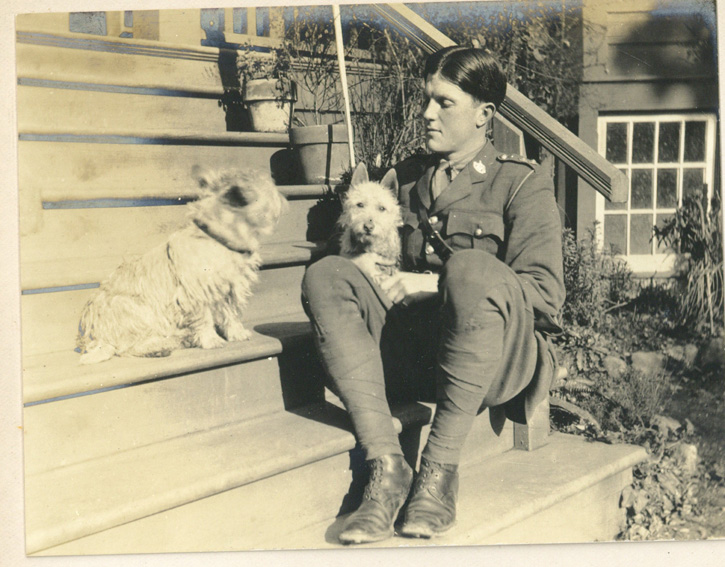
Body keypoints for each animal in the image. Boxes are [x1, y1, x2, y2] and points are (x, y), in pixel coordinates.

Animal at [76, 167, 287, 364]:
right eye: (269, 188)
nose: (284, 200)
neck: (217, 238)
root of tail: (93, 335)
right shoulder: (195, 293)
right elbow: (204, 318)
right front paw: (211, 339)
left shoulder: (228, 289)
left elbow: (230, 313)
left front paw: (236, 333)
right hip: (132, 308)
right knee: (127, 348)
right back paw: (163, 345)